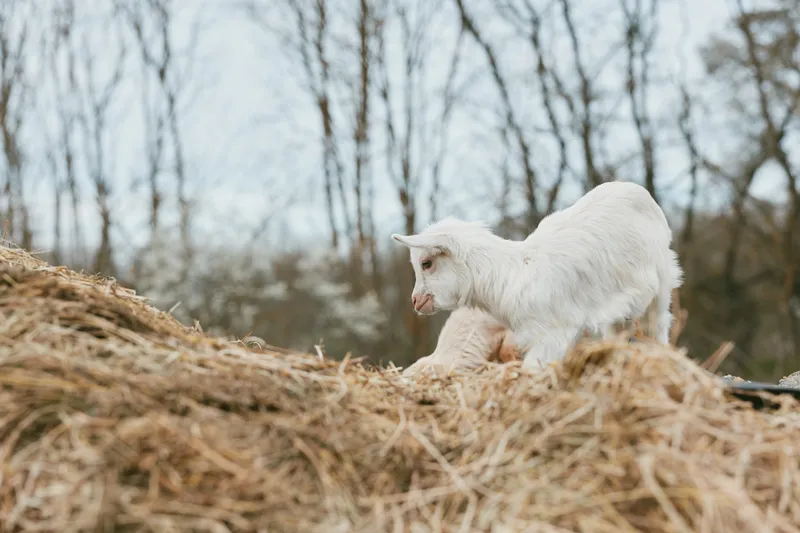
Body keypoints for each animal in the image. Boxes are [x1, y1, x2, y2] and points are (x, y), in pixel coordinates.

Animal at [392, 181, 683, 370]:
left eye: (426, 263)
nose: (416, 301)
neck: (510, 275)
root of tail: (637, 190)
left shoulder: (552, 336)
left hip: (660, 289)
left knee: (657, 329)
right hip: (619, 308)